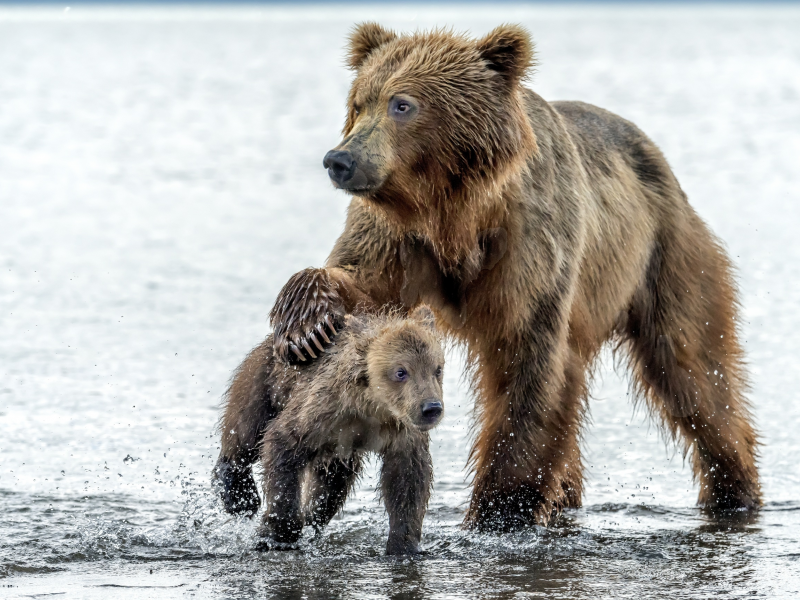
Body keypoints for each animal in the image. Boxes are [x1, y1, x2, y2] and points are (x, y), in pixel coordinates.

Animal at [264, 22, 764, 528]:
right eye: (358, 103)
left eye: (402, 104)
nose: (339, 160)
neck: (455, 215)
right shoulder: (395, 238)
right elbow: (360, 285)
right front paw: (307, 324)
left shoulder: (529, 246)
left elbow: (527, 367)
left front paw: (498, 510)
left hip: (665, 255)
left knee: (694, 369)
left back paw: (734, 488)